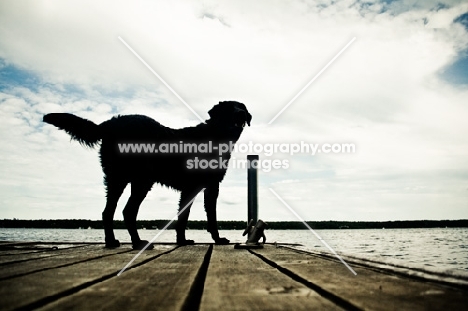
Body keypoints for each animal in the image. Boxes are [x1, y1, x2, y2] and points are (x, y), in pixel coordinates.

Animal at [44, 102, 252, 251]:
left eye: (241, 106)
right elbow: (206, 217)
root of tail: (110, 123)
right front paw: (216, 239)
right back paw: (137, 243)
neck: (216, 136)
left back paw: (112, 242)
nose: (242, 113)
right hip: (139, 180)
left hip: (121, 180)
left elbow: (185, 217)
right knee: (126, 211)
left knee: (109, 211)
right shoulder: (201, 187)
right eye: (230, 107)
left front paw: (183, 240)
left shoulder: (200, 188)